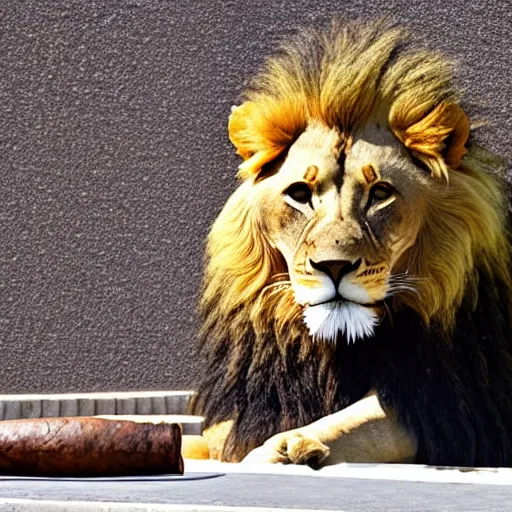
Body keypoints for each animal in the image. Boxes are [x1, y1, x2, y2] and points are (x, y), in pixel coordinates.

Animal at [189, 20, 512, 468]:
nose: (334, 267)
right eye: (300, 194)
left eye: (380, 193)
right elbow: (201, 441)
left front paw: (289, 450)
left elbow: (348, 424)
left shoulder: (445, 406)